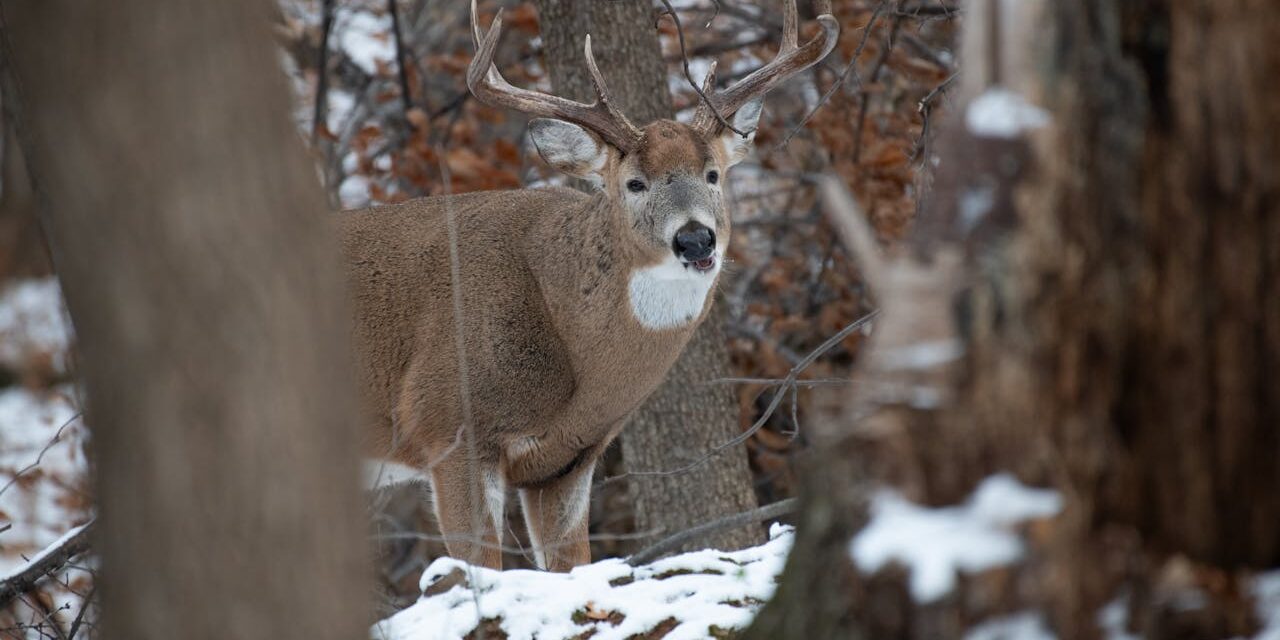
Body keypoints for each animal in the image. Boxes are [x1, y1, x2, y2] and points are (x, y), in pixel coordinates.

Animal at [340, 0, 838, 572]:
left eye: (713, 174)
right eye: (635, 183)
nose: (694, 239)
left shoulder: (567, 461)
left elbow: (572, 565)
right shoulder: (446, 425)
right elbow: (476, 570)